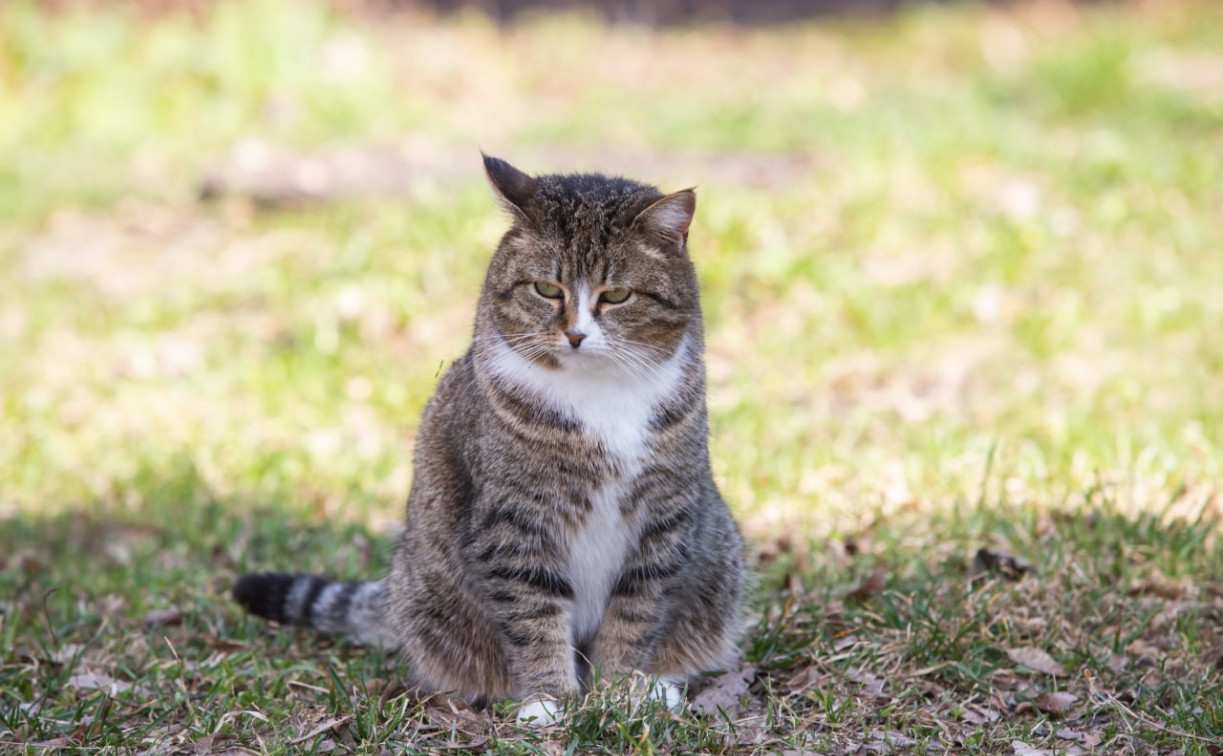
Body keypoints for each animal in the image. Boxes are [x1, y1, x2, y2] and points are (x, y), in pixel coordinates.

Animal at [229, 154, 743, 724]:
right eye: (546, 290)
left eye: (615, 296)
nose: (576, 334)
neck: (599, 397)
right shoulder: (513, 520)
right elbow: (534, 613)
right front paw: (550, 701)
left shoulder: (664, 517)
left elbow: (635, 614)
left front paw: (619, 692)